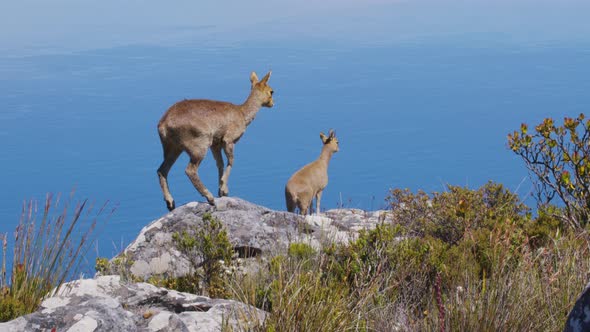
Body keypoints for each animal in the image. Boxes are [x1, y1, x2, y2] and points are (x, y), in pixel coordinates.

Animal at [157, 70, 278, 210]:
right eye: (271, 91)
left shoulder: (215, 144)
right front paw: (224, 189)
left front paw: (220, 190)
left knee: (162, 170)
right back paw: (209, 198)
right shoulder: (228, 139)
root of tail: (163, 125)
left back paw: (170, 202)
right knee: (190, 170)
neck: (242, 114)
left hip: (172, 147)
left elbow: (219, 163)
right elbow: (231, 161)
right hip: (199, 144)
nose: (273, 103)